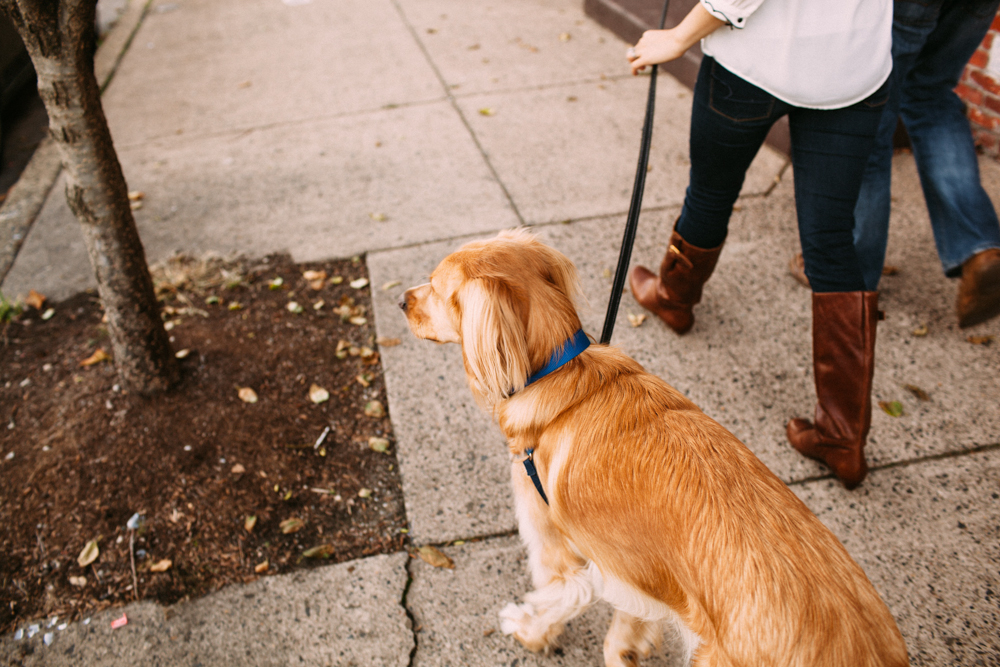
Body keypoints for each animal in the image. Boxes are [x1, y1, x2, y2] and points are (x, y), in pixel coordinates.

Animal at [396, 231, 908, 667]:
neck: (562, 374)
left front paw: (530, 629)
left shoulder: (553, 539)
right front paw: (626, 647)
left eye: (437, 288)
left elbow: (564, 593)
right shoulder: (640, 572)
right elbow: (630, 614)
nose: (399, 300)